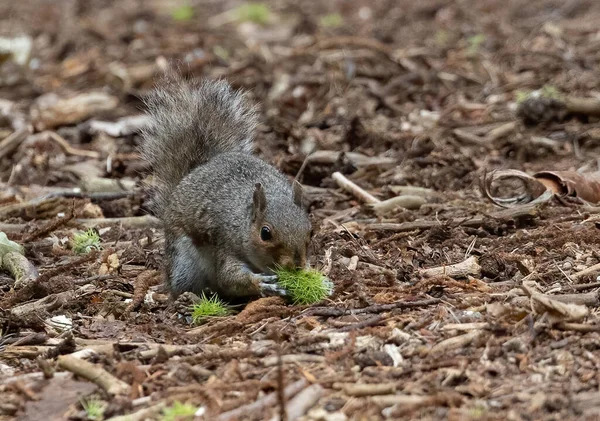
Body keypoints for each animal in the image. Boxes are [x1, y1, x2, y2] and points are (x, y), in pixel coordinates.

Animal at [139, 74, 312, 298]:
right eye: (265, 233)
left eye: (310, 230)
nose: (297, 265)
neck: (243, 222)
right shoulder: (225, 244)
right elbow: (230, 278)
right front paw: (263, 284)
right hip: (184, 261)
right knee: (181, 285)